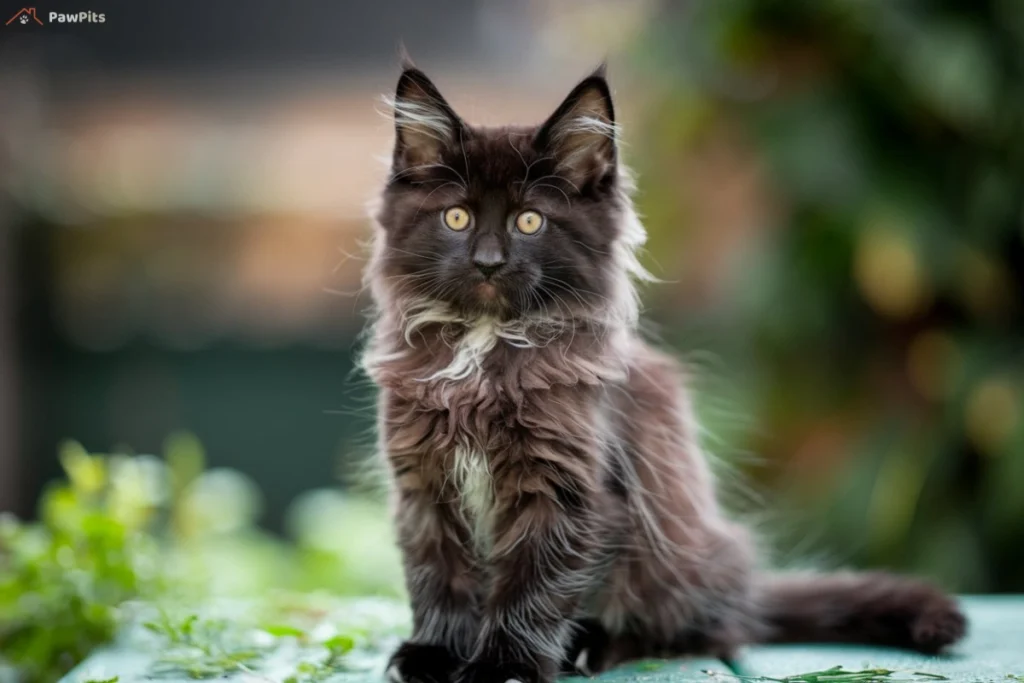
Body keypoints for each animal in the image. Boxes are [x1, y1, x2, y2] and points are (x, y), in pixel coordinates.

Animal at [362, 63, 966, 683]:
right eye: (456, 217)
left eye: (530, 221)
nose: (488, 262)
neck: (484, 349)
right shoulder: (425, 486)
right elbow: (440, 579)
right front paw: (435, 654)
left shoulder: (568, 492)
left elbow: (531, 588)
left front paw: (502, 666)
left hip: (672, 559)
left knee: (705, 629)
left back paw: (593, 644)